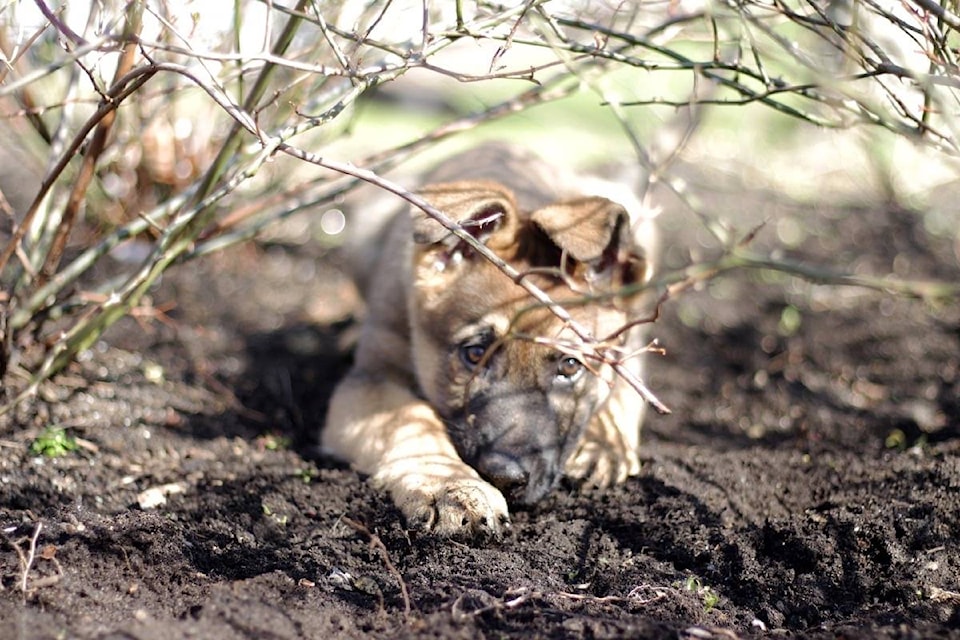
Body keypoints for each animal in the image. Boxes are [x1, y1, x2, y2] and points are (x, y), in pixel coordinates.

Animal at [318, 144, 656, 536]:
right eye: (475, 354)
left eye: (570, 365)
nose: (503, 476)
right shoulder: (370, 379)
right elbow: (408, 419)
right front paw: (449, 485)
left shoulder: (633, 346)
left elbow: (626, 388)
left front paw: (605, 441)